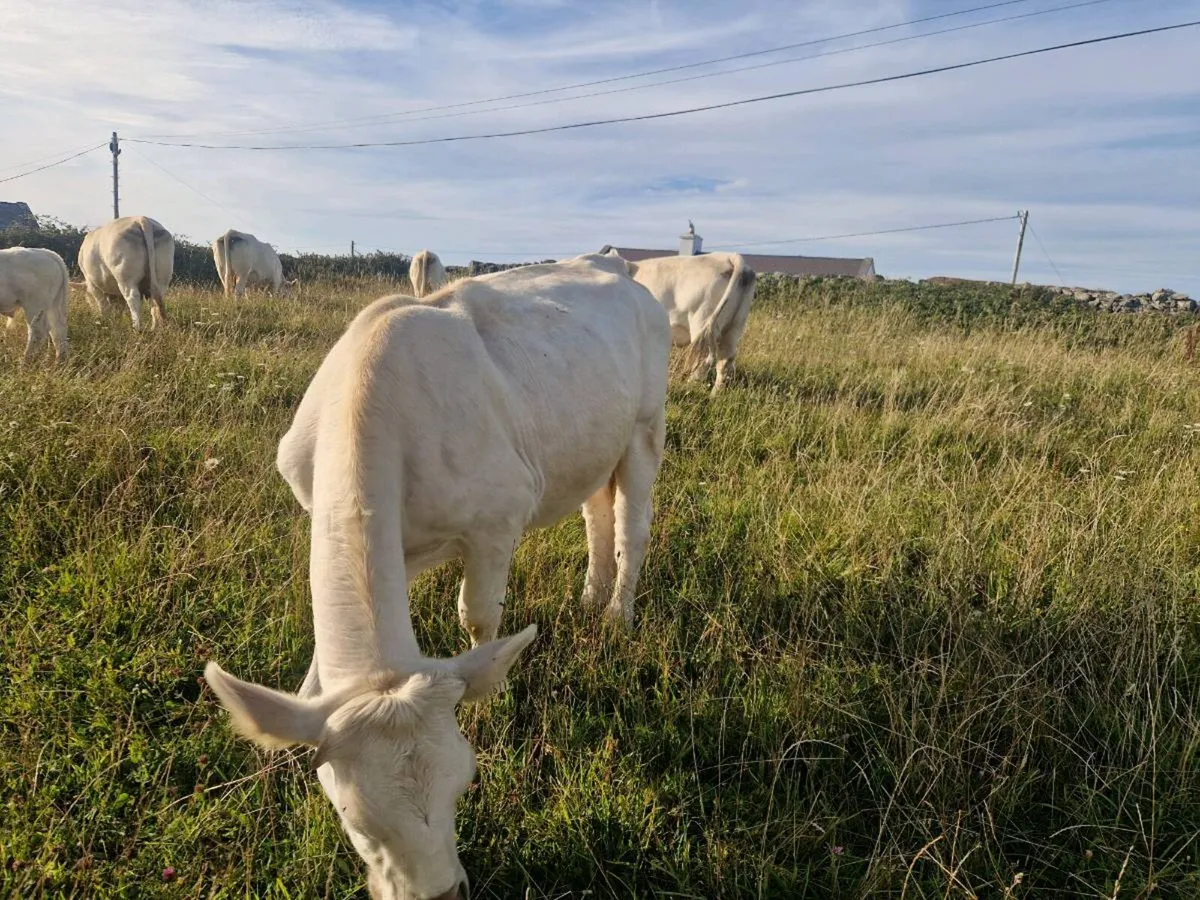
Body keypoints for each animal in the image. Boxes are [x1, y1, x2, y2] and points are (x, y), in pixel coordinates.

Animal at [204, 252, 671, 900]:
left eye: (465, 782)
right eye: (353, 818)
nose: (438, 893)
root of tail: (614, 262)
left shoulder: (498, 518)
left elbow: (478, 618)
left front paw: (491, 702)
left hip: (646, 424)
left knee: (632, 524)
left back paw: (615, 616)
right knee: (596, 514)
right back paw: (588, 598)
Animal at [601, 247, 756, 394]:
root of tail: (729, 256)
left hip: (702, 319)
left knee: (704, 360)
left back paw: (690, 388)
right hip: (734, 327)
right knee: (725, 361)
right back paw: (714, 395)